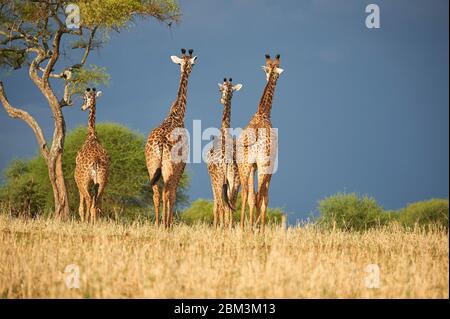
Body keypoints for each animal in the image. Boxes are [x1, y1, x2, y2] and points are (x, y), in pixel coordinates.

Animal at [74, 86, 110, 224]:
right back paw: (95, 222)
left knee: (89, 201)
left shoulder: (80, 182)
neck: (92, 135)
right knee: (97, 203)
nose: (82, 108)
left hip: (83, 180)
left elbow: (81, 206)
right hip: (102, 181)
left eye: (85, 98)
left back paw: (87, 222)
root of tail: (95, 162)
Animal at [146, 47, 197, 229]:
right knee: (166, 191)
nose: (190, 67)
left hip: (152, 165)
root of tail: (160, 143)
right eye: (192, 63)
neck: (177, 114)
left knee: (155, 193)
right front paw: (169, 223)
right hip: (168, 167)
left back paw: (156, 224)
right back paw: (165, 224)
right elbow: (173, 193)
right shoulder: (181, 165)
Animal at [237, 53, 284, 231]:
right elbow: (264, 197)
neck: (263, 112)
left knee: (245, 194)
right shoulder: (270, 166)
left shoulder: (253, 166)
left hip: (244, 166)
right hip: (264, 165)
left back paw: (243, 227)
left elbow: (252, 195)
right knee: (260, 195)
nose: (275, 77)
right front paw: (260, 228)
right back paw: (257, 228)